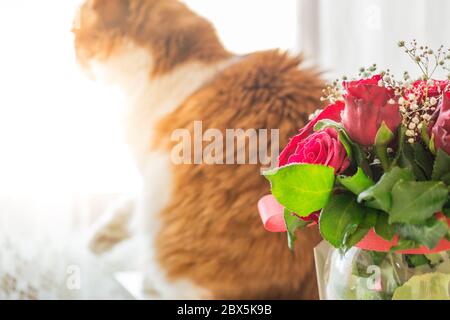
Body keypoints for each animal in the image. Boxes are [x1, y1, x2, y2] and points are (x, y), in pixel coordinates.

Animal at [74, 0, 326, 300]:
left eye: (75, 29)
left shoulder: (150, 164)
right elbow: (125, 206)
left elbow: (130, 203)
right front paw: (101, 235)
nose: (73, 49)